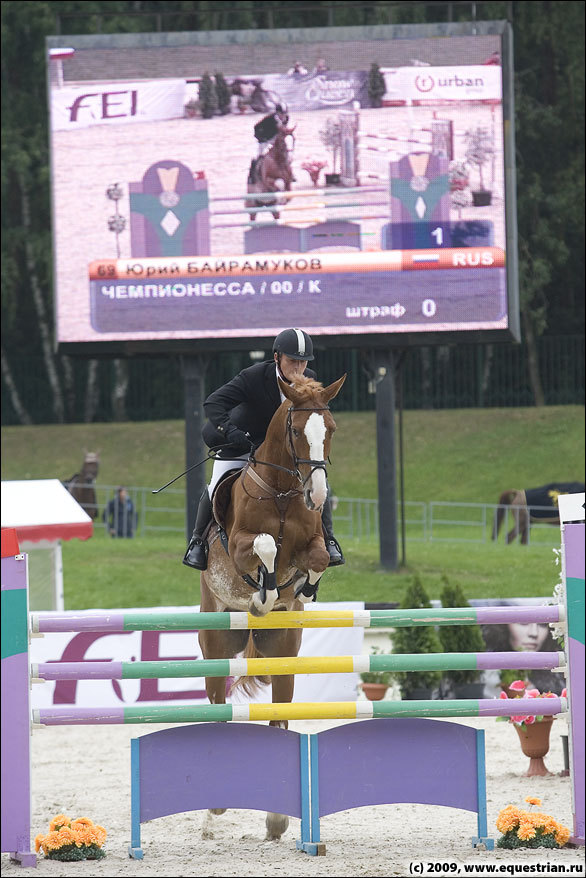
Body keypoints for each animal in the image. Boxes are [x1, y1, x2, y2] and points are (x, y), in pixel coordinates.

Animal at [197, 372, 342, 840]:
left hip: (284, 651)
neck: (281, 492)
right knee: (216, 709)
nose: (317, 494)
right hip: (216, 644)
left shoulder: (312, 542)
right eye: (296, 432)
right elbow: (264, 546)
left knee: (279, 713)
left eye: (330, 430)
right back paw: (214, 811)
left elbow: (316, 557)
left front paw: (302, 588)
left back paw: (276, 820)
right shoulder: (240, 546)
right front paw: (264, 592)